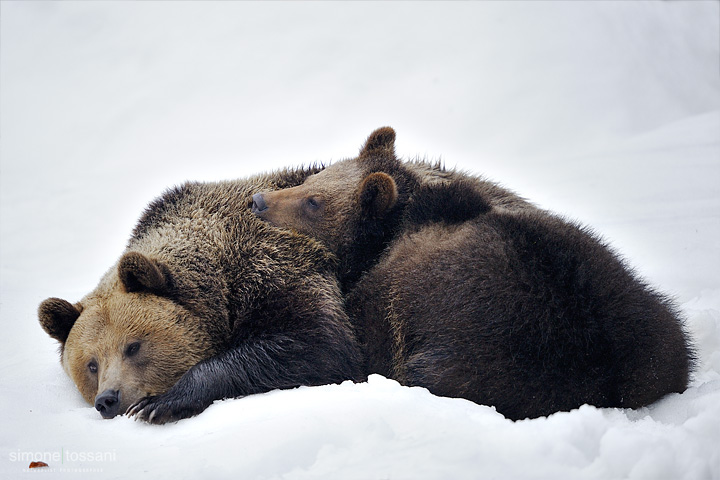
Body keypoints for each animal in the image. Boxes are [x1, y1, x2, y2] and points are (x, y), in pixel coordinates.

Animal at [37, 168, 362, 424]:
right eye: (91, 364)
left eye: (133, 347)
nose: (108, 399)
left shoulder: (277, 266)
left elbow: (318, 344)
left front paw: (160, 403)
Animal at [252, 127, 692, 420]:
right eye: (315, 177)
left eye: (314, 201)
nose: (259, 200)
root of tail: (605, 376)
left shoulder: (380, 306)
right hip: (644, 319)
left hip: (487, 351)